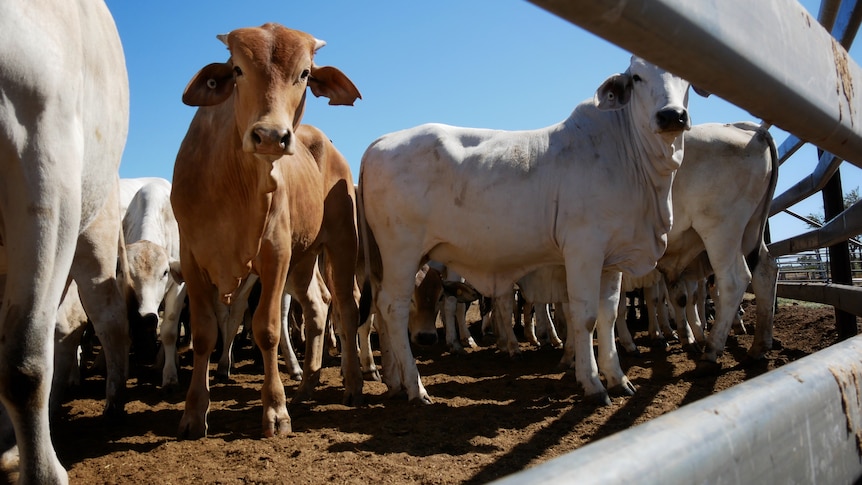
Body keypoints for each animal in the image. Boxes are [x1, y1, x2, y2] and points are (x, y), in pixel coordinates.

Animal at [0, 0, 130, 478]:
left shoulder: (41, 153)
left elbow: (23, 364)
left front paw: (43, 473)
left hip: (89, 235)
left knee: (107, 319)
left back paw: (113, 402)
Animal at [120, 179, 186, 390]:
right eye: (125, 273)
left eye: (165, 272)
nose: (146, 317)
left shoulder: (178, 288)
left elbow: (169, 332)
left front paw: (170, 376)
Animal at [174, 22, 362, 438]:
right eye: (237, 69)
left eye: (305, 73)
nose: (272, 136)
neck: (232, 184)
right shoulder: (191, 256)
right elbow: (203, 333)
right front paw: (194, 412)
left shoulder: (275, 253)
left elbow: (268, 329)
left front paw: (275, 410)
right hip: (305, 257)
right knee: (317, 306)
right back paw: (307, 385)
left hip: (341, 243)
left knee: (347, 306)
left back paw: (354, 384)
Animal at [362, 55, 700, 404]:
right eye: (637, 77)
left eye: (686, 77)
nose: (671, 115)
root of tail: (381, 142)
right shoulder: (583, 250)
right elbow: (586, 317)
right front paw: (592, 383)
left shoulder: (612, 259)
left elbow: (608, 315)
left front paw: (618, 378)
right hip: (402, 253)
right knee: (393, 308)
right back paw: (416, 388)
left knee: (382, 309)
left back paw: (396, 381)